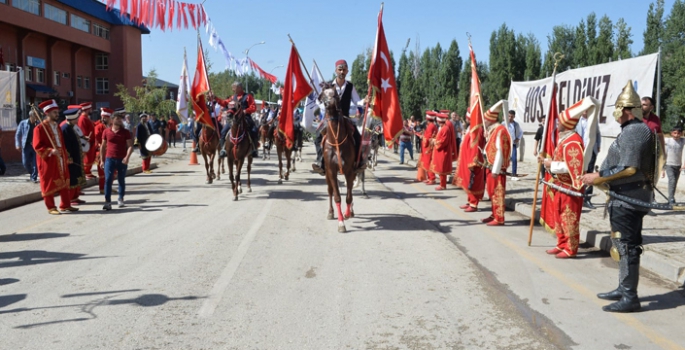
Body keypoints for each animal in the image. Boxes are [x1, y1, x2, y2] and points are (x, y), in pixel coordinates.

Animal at [316, 82, 356, 232]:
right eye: (322, 95)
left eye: (335, 95)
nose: (328, 104)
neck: (337, 141)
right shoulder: (331, 171)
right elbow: (337, 196)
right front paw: (341, 223)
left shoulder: (350, 171)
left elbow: (349, 196)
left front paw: (347, 213)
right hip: (327, 174)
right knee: (330, 191)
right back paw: (330, 212)